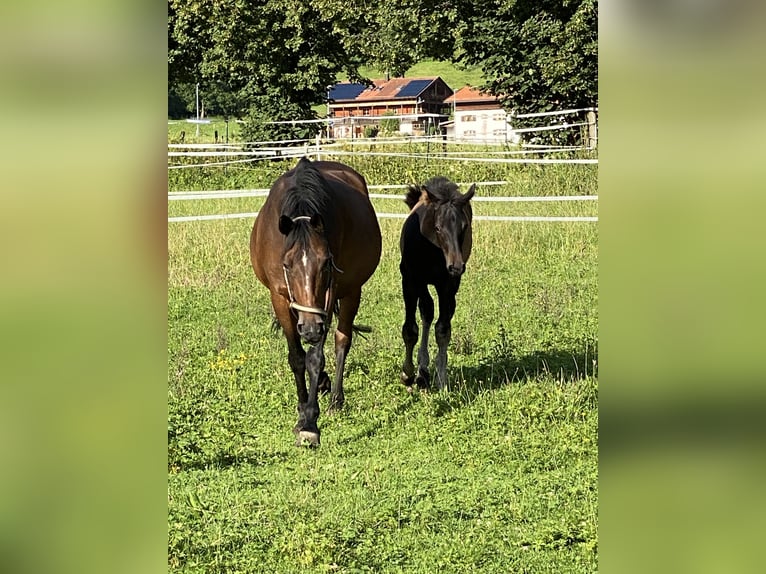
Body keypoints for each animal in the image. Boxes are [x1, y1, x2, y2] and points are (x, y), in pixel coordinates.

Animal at [252, 159, 384, 450]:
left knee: (342, 340)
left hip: (351, 292)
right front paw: (302, 412)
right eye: (287, 264)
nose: (311, 329)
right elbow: (297, 358)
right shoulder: (280, 298)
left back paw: (335, 398)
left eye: (325, 264)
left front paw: (310, 424)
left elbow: (315, 358)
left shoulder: (329, 294)